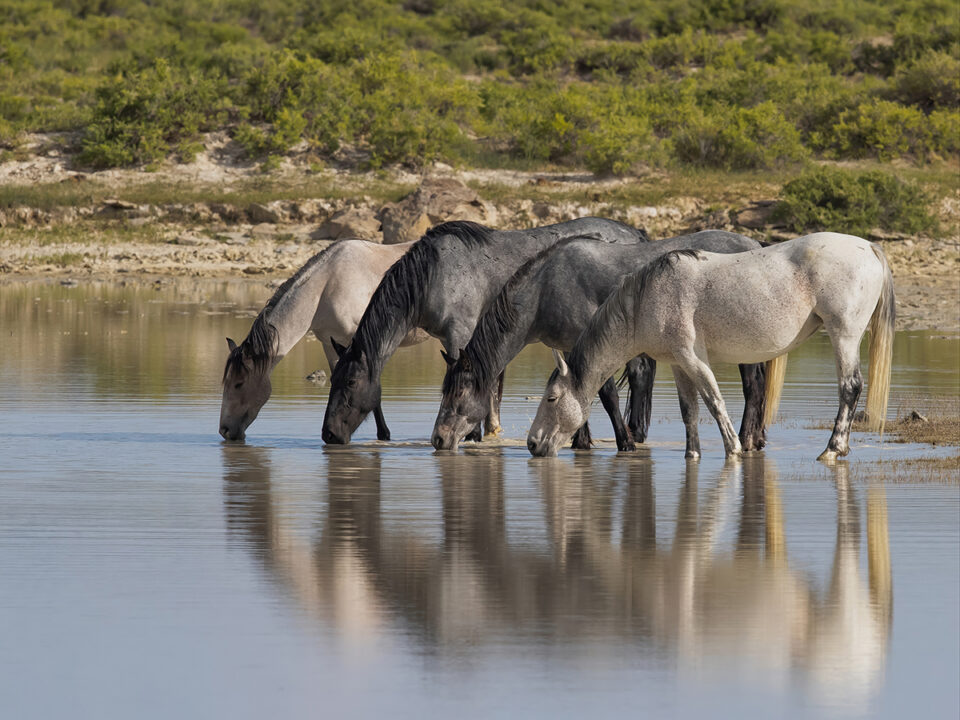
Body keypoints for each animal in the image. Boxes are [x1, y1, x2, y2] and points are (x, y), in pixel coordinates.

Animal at [321, 218, 648, 445]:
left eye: (350, 382)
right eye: (333, 380)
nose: (328, 434)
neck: (435, 274)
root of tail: (635, 234)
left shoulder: (459, 335)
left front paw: (472, 433)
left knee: (638, 373)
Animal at [432, 230, 770, 452]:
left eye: (459, 392)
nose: (438, 439)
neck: (546, 288)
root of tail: (756, 244)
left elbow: (607, 395)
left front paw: (625, 442)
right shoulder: (569, 347)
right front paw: (580, 441)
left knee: (753, 389)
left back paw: (746, 440)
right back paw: (756, 439)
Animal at [526, 233, 895, 460]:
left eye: (552, 398)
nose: (532, 443)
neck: (649, 297)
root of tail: (869, 247)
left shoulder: (694, 359)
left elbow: (714, 402)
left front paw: (733, 449)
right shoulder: (678, 364)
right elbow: (689, 410)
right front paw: (692, 454)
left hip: (844, 335)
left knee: (850, 387)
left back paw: (833, 448)